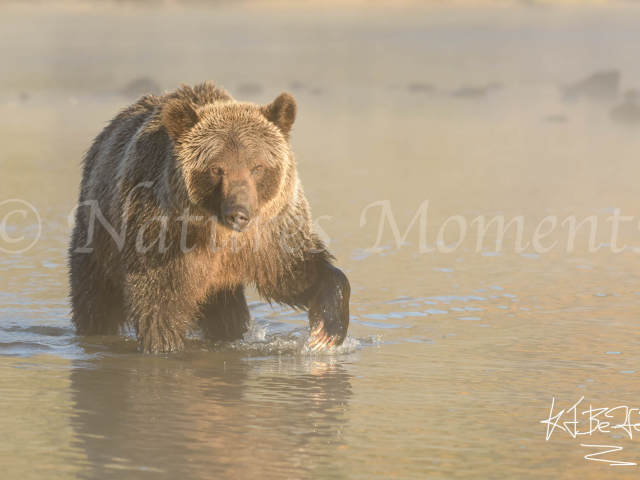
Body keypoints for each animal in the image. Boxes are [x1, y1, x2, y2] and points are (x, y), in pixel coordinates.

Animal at [68, 82, 350, 353]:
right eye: (216, 169)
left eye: (257, 166)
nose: (239, 214)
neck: (216, 233)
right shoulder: (160, 236)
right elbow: (159, 303)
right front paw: (166, 346)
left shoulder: (271, 232)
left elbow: (293, 273)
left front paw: (327, 329)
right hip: (98, 237)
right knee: (94, 300)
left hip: (221, 289)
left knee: (228, 316)